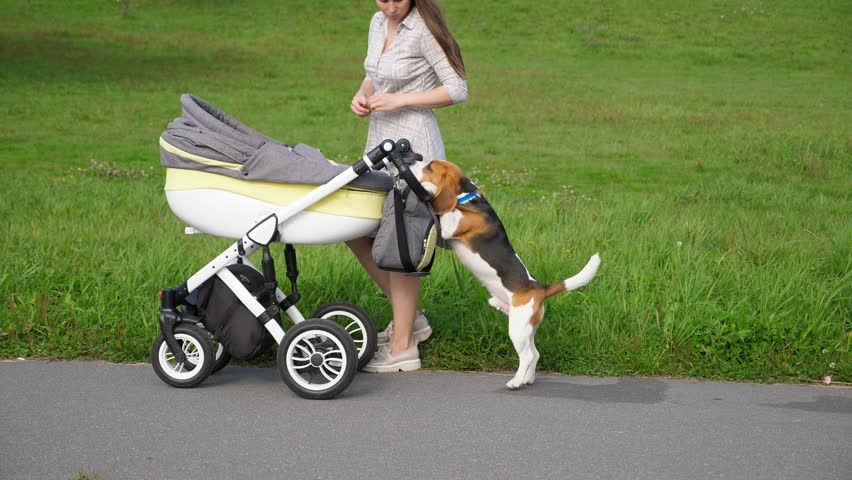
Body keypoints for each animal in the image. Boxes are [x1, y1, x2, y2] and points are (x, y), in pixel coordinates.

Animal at [412, 161, 600, 390]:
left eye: (430, 167)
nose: (413, 161)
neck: (466, 198)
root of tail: (540, 288)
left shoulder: (450, 226)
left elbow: (448, 215)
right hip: (526, 327)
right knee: (535, 354)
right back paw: (527, 379)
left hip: (517, 329)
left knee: (528, 356)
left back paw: (516, 382)